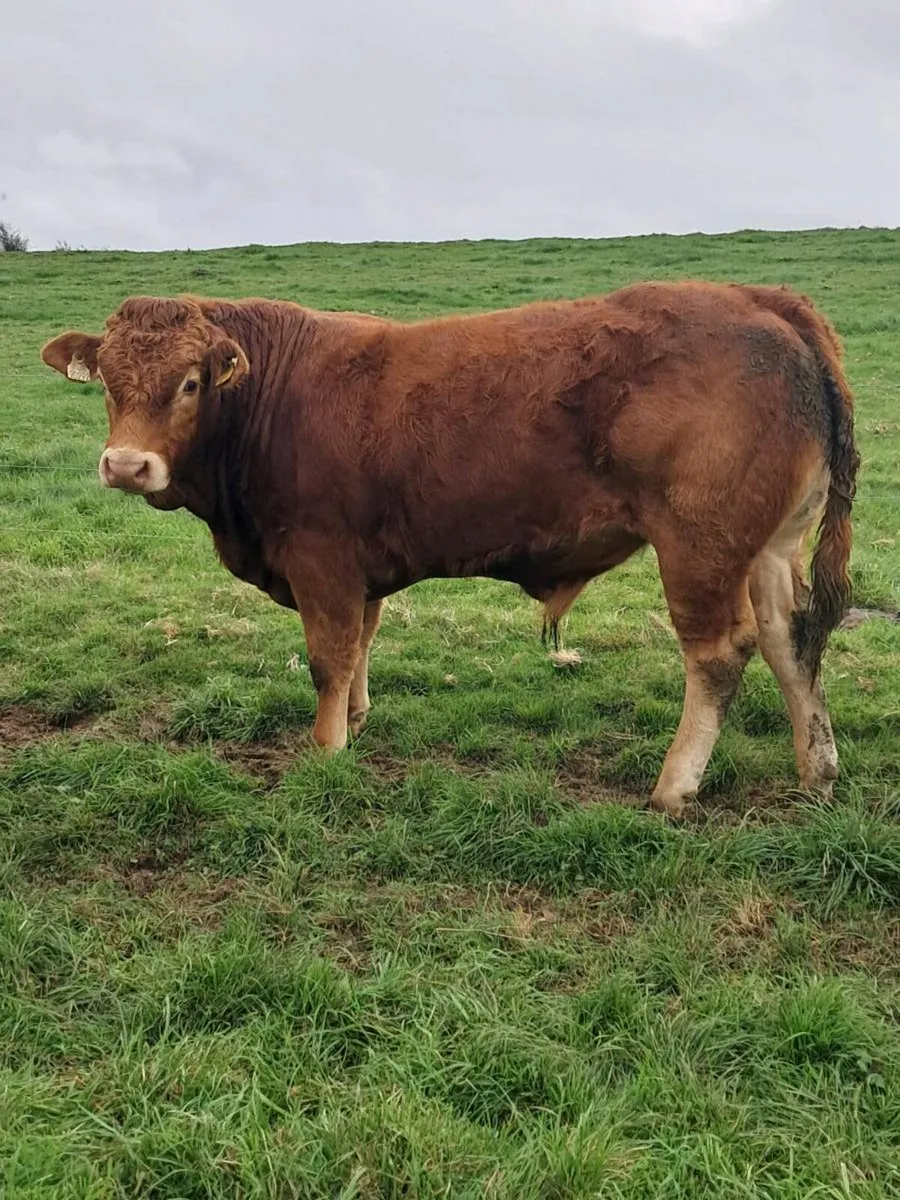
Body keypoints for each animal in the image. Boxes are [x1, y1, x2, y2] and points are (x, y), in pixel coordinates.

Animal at [41, 281, 859, 817]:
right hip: (770, 548)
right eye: (107, 382)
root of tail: (760, 298)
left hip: (698, 546)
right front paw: (358, 720)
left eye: (189, 383)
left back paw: (674, 788)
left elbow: (328, 656)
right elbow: (362, 644)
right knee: (792, 642)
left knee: (719, 653)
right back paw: (816, 770)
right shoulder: (357, 569)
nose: (126, 466)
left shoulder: (320, 559)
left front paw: (325, 749)